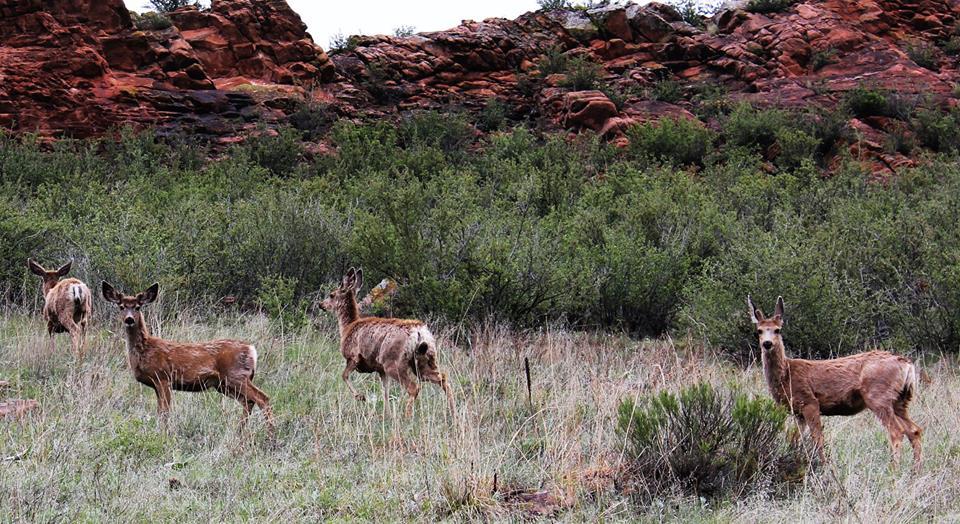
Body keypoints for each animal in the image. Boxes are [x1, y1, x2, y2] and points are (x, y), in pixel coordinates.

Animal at [101, 281, 274, 437]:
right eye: (121, 306)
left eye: (138, 307)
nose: (129, 319)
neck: (145, 350)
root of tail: (251, 349)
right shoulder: (157, 384)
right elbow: (160, 412)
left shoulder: (163, 377)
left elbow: (165, 412)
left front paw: (164, 436)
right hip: (224, 384)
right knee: (249, 401)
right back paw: (240, 433)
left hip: (236, 376)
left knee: (263, 398)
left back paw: (270, 437)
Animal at [320, 267, 455, 418]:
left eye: (332, 295)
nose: (321, 304)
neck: (348, 327)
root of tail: (419, 331)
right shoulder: (380, 369)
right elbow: (385, 391)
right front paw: (387, 415)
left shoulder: (353, 357)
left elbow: (344, 375)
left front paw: (361, 397)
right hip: (425, 361)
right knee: (443, 379)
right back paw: (453, 413)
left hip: (393, 362)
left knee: (414, 387)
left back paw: (407, 417)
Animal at [748, 295, 922, 469]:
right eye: (759, 331)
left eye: (777, 329)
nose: (767, 343)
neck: (786, 375)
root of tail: (907, 364)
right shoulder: (797, 411)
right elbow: (795, 440)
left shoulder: (810, 402)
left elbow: (817, 438)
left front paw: (824, 467)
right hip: (901, 401)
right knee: (915, 430)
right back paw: (915, 470)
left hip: (878, 396)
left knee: (897, 431)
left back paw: (894, 470)